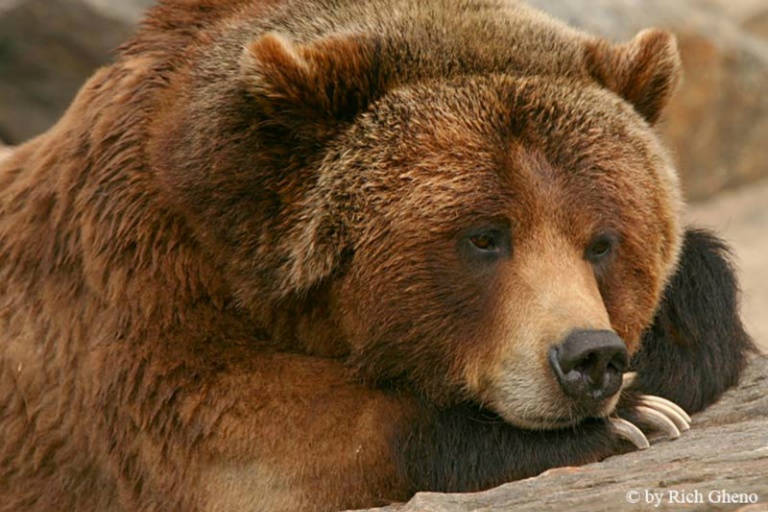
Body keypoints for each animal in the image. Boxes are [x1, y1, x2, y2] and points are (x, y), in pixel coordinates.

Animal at [0, 0, 755, 511]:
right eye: (484, 235)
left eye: (601, 241)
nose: (589, 357)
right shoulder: (138, 266)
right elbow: (237, 436)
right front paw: (633, 417)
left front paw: (665, 368)